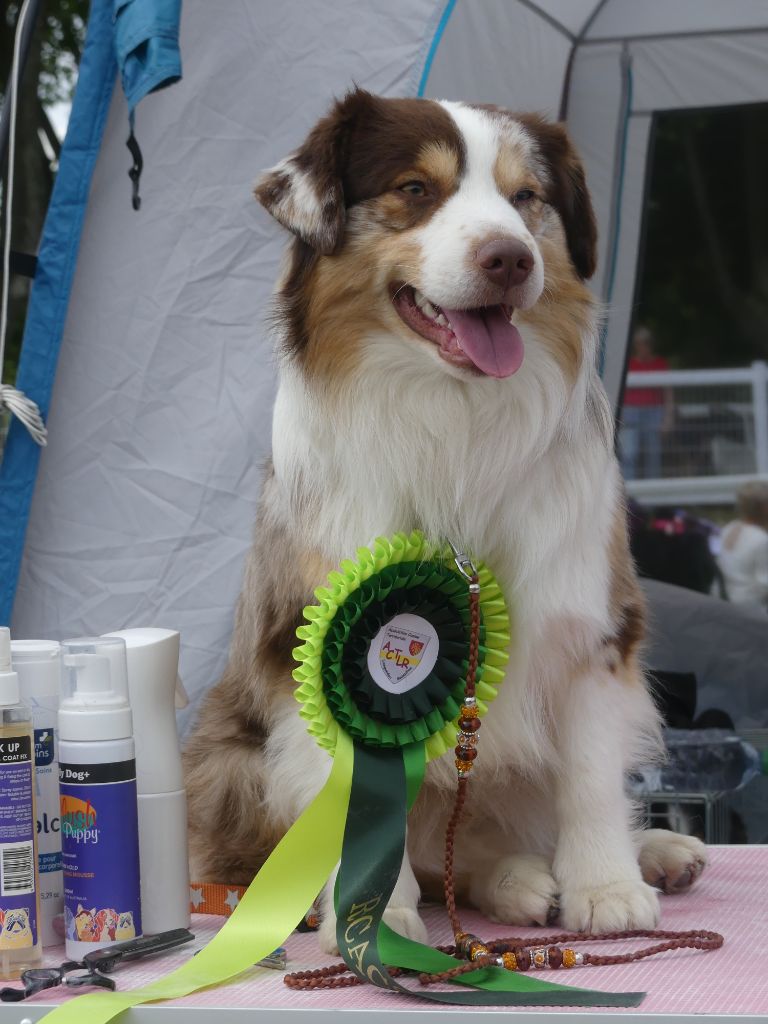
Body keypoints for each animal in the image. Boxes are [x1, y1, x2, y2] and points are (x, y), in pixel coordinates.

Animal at [183, 88, 708, 950]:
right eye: (415, 190)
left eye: (526, 198)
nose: (511, 259)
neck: (453, 421)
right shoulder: (314, 639)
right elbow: (362, 802)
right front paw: (371, 917)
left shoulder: (591, 621)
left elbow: (590, 774)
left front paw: (606, 887)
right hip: (231, 760)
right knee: (428, 858)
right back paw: (513, 883)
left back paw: (640, 856)